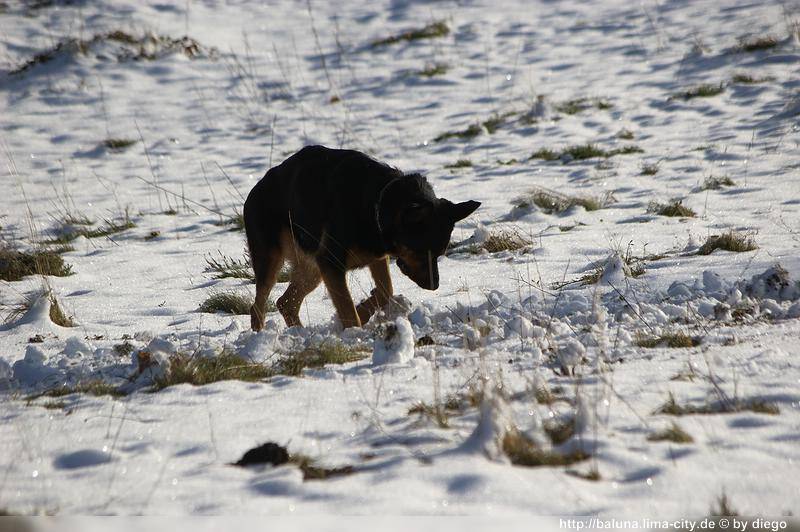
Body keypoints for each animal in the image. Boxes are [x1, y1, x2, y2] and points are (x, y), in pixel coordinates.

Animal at [243, 145, 480, 330]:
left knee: (286, 303)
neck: (377, 204)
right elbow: (347, 309)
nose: (434, 286)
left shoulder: (375, 257)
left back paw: (300, 334)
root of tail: (256, 189)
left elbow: (385, 291)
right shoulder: (332, 263)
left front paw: (365, 309)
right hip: (271, 260)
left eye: (439, 254)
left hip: (312, 268)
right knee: (258, 305)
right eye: (420, 252)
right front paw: (355, 331)